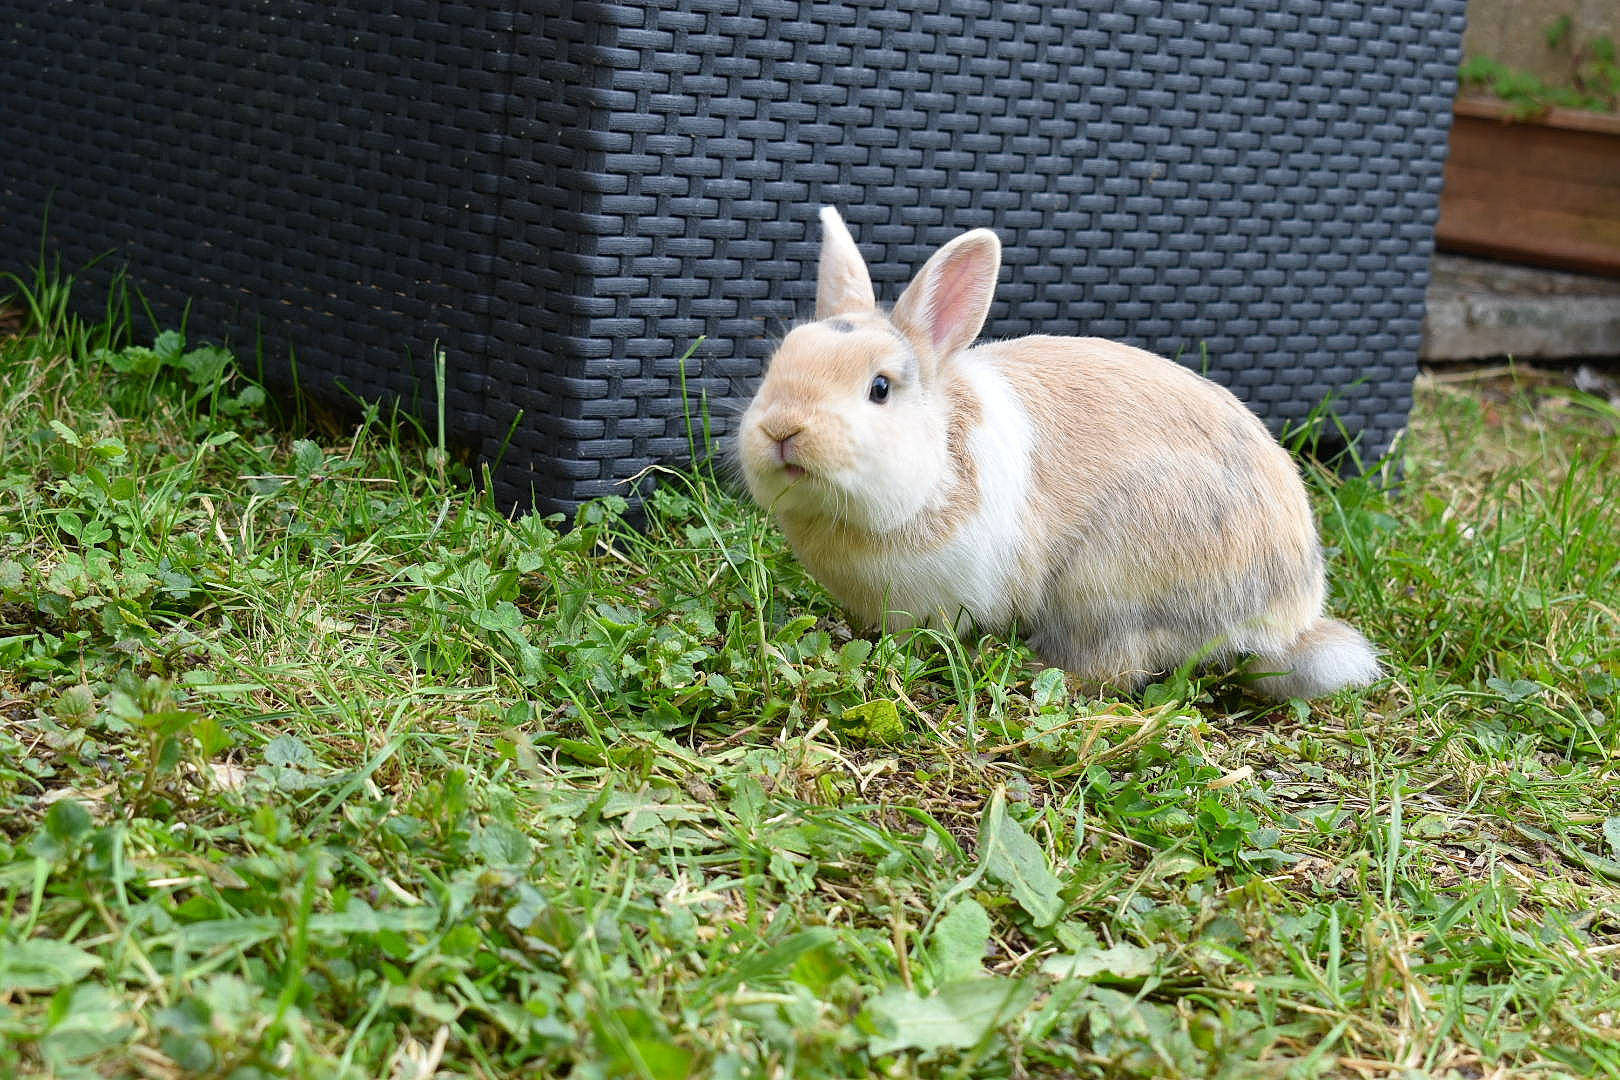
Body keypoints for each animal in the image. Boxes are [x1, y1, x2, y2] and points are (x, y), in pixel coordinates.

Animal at [735, 207, 1380, 700]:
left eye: (880, 388)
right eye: (778, 362)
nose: (782, 430)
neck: (938, 464)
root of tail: (1286, 617)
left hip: (1111, 581)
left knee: (1116, 668)